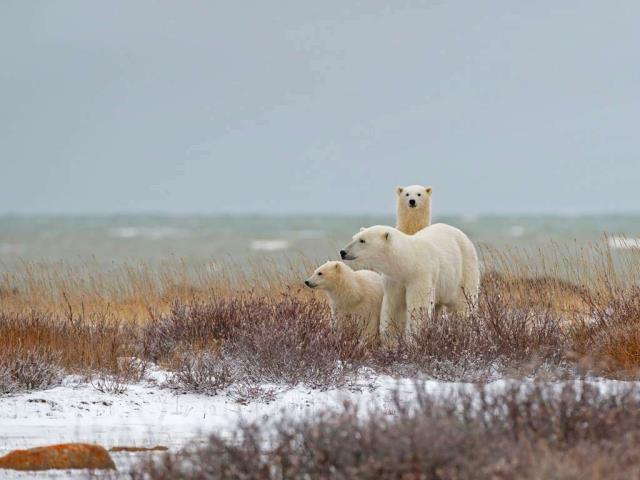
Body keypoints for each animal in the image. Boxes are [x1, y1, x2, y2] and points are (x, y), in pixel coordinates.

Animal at [340, 223, 480, 343]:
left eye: (362, 240)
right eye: (354, 237)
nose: (343, 252)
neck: (408, 261)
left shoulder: (420, 275)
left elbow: (418, 308)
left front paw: (413, 339)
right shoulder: (394, 280)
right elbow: (394, 307)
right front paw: (390, 340)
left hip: (464, 268)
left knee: (462, 305)